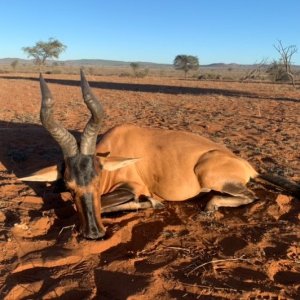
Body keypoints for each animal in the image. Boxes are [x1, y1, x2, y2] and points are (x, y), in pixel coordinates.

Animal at [19, 70, 298, 239]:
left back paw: (210, 206)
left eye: (98, 181)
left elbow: (114, 204)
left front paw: (153, 202)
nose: (94, 234)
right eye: (69, 185)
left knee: (250, 195)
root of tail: (249, 166)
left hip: (207, 173)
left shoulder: (133, 187)